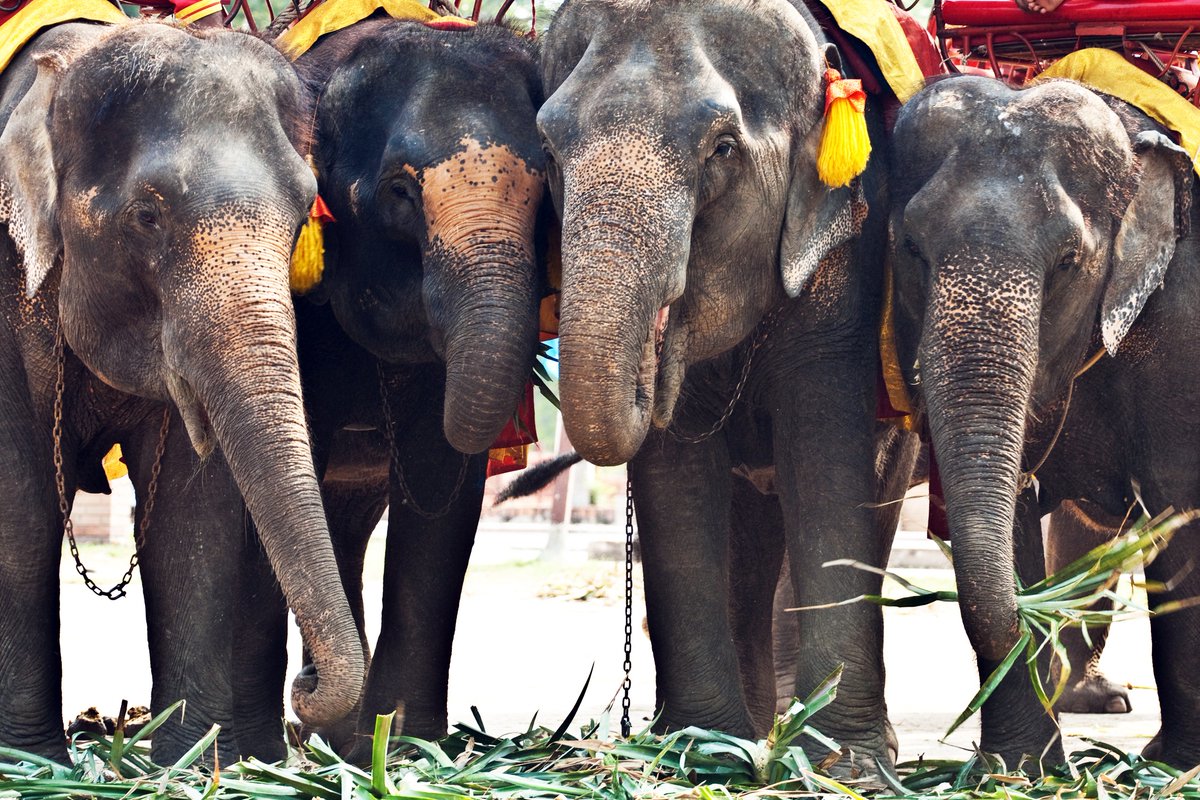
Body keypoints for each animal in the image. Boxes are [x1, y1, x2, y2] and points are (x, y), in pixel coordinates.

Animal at [0, 21, 364, 763]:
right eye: (147, 215)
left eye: (299, 221)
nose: (305, 683)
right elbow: (18, 501)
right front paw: (32, 759)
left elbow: (193, 515)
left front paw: (191, 762)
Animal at [538, 0, 920, 771]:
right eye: (550, 151)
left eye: (721, 149)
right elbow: (681, 481)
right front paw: (701, 750)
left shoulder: (847, 260)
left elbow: (824, 459)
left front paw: (849, 766)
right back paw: (756, 732)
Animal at [888, 74, 1200, 768]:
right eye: (910, 249)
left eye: (1067, 262)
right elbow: (1016, 512)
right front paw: (1018, 770)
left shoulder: (1186, 324)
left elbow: (1181, 506)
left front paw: (1174, 765)